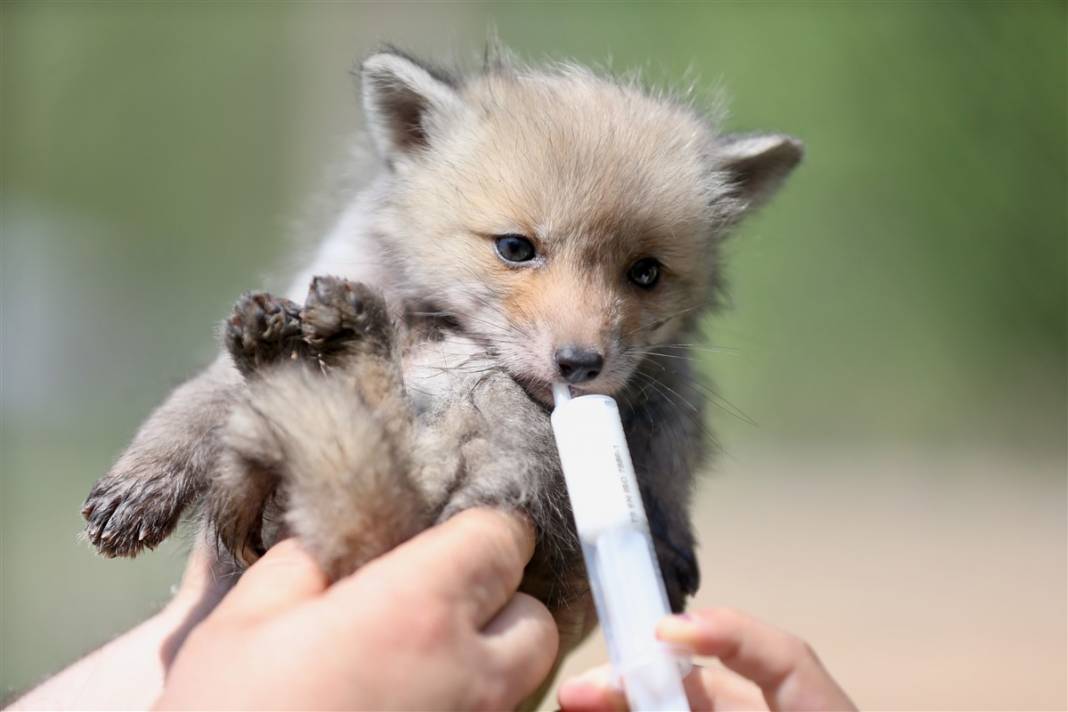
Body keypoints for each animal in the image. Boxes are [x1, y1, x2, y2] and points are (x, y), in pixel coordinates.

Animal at [83, 47, 803, 649]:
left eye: (646, 273)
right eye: (514, 248)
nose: (579, 364)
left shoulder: (663, 377)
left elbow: (671, 443)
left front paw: (667, 538)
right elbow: (202, 397)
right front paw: (144, 480)